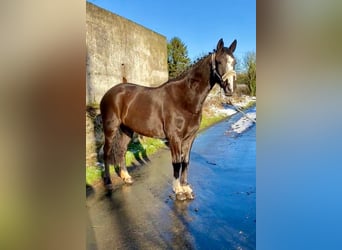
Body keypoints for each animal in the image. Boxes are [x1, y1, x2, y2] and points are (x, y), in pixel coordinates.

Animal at [100, 38, 236, 200]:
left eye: (234, 62)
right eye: (220, 61)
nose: (230, 89)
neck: (184, 98)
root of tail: (109, 93)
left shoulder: (190, 138)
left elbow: (186, 161)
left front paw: (186, 188)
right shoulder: (174, 138)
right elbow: (176, 163)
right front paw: (178, 191)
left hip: (127, 130)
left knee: (121, 150)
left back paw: (126, 177)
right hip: (110, 129)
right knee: (106, 152)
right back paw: (108, 182)